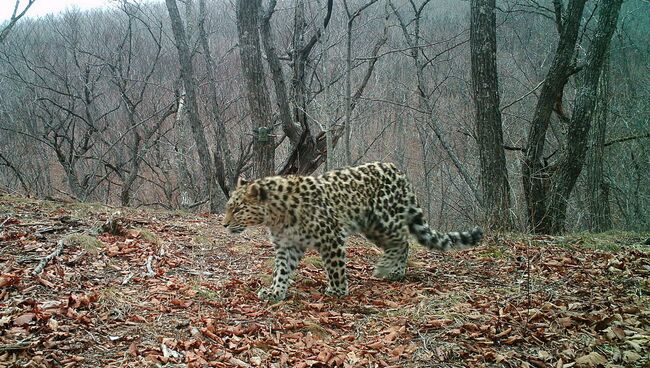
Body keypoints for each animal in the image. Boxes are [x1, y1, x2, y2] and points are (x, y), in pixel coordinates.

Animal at [223, 162, 480, 300]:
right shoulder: (288, 245)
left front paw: (337, 290)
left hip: (383, 219)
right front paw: (275, 292)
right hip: (372, 227)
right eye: (229, 207)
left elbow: (334, 266)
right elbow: (282, 270)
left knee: (403, 240)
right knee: (399, 243)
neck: (276, 216)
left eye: (237, 209)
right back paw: (395, 271)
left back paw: (386, 268)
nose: (224, 224)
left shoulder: (332, 235)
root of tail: (398, 171)